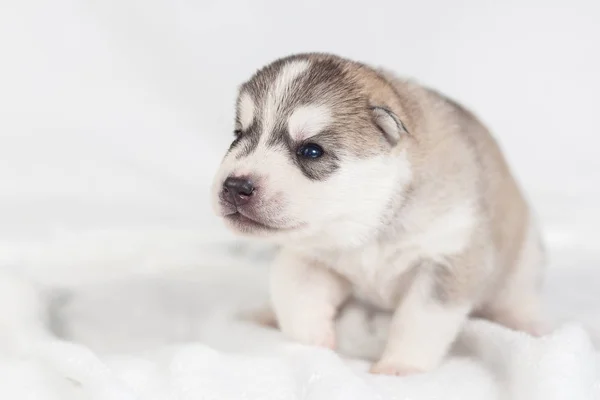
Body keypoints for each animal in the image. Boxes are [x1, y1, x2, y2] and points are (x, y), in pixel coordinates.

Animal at [213, 53, 548, 376]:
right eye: (238, 134)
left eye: (311, 151)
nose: (235, 186)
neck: (369, 227)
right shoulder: (308, 256)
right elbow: (294, 292)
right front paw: (315, 342)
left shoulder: (446, 262)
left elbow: (418, 321)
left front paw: (400, 366)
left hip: (523, 257)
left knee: (516, 294)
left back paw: (527, 324)